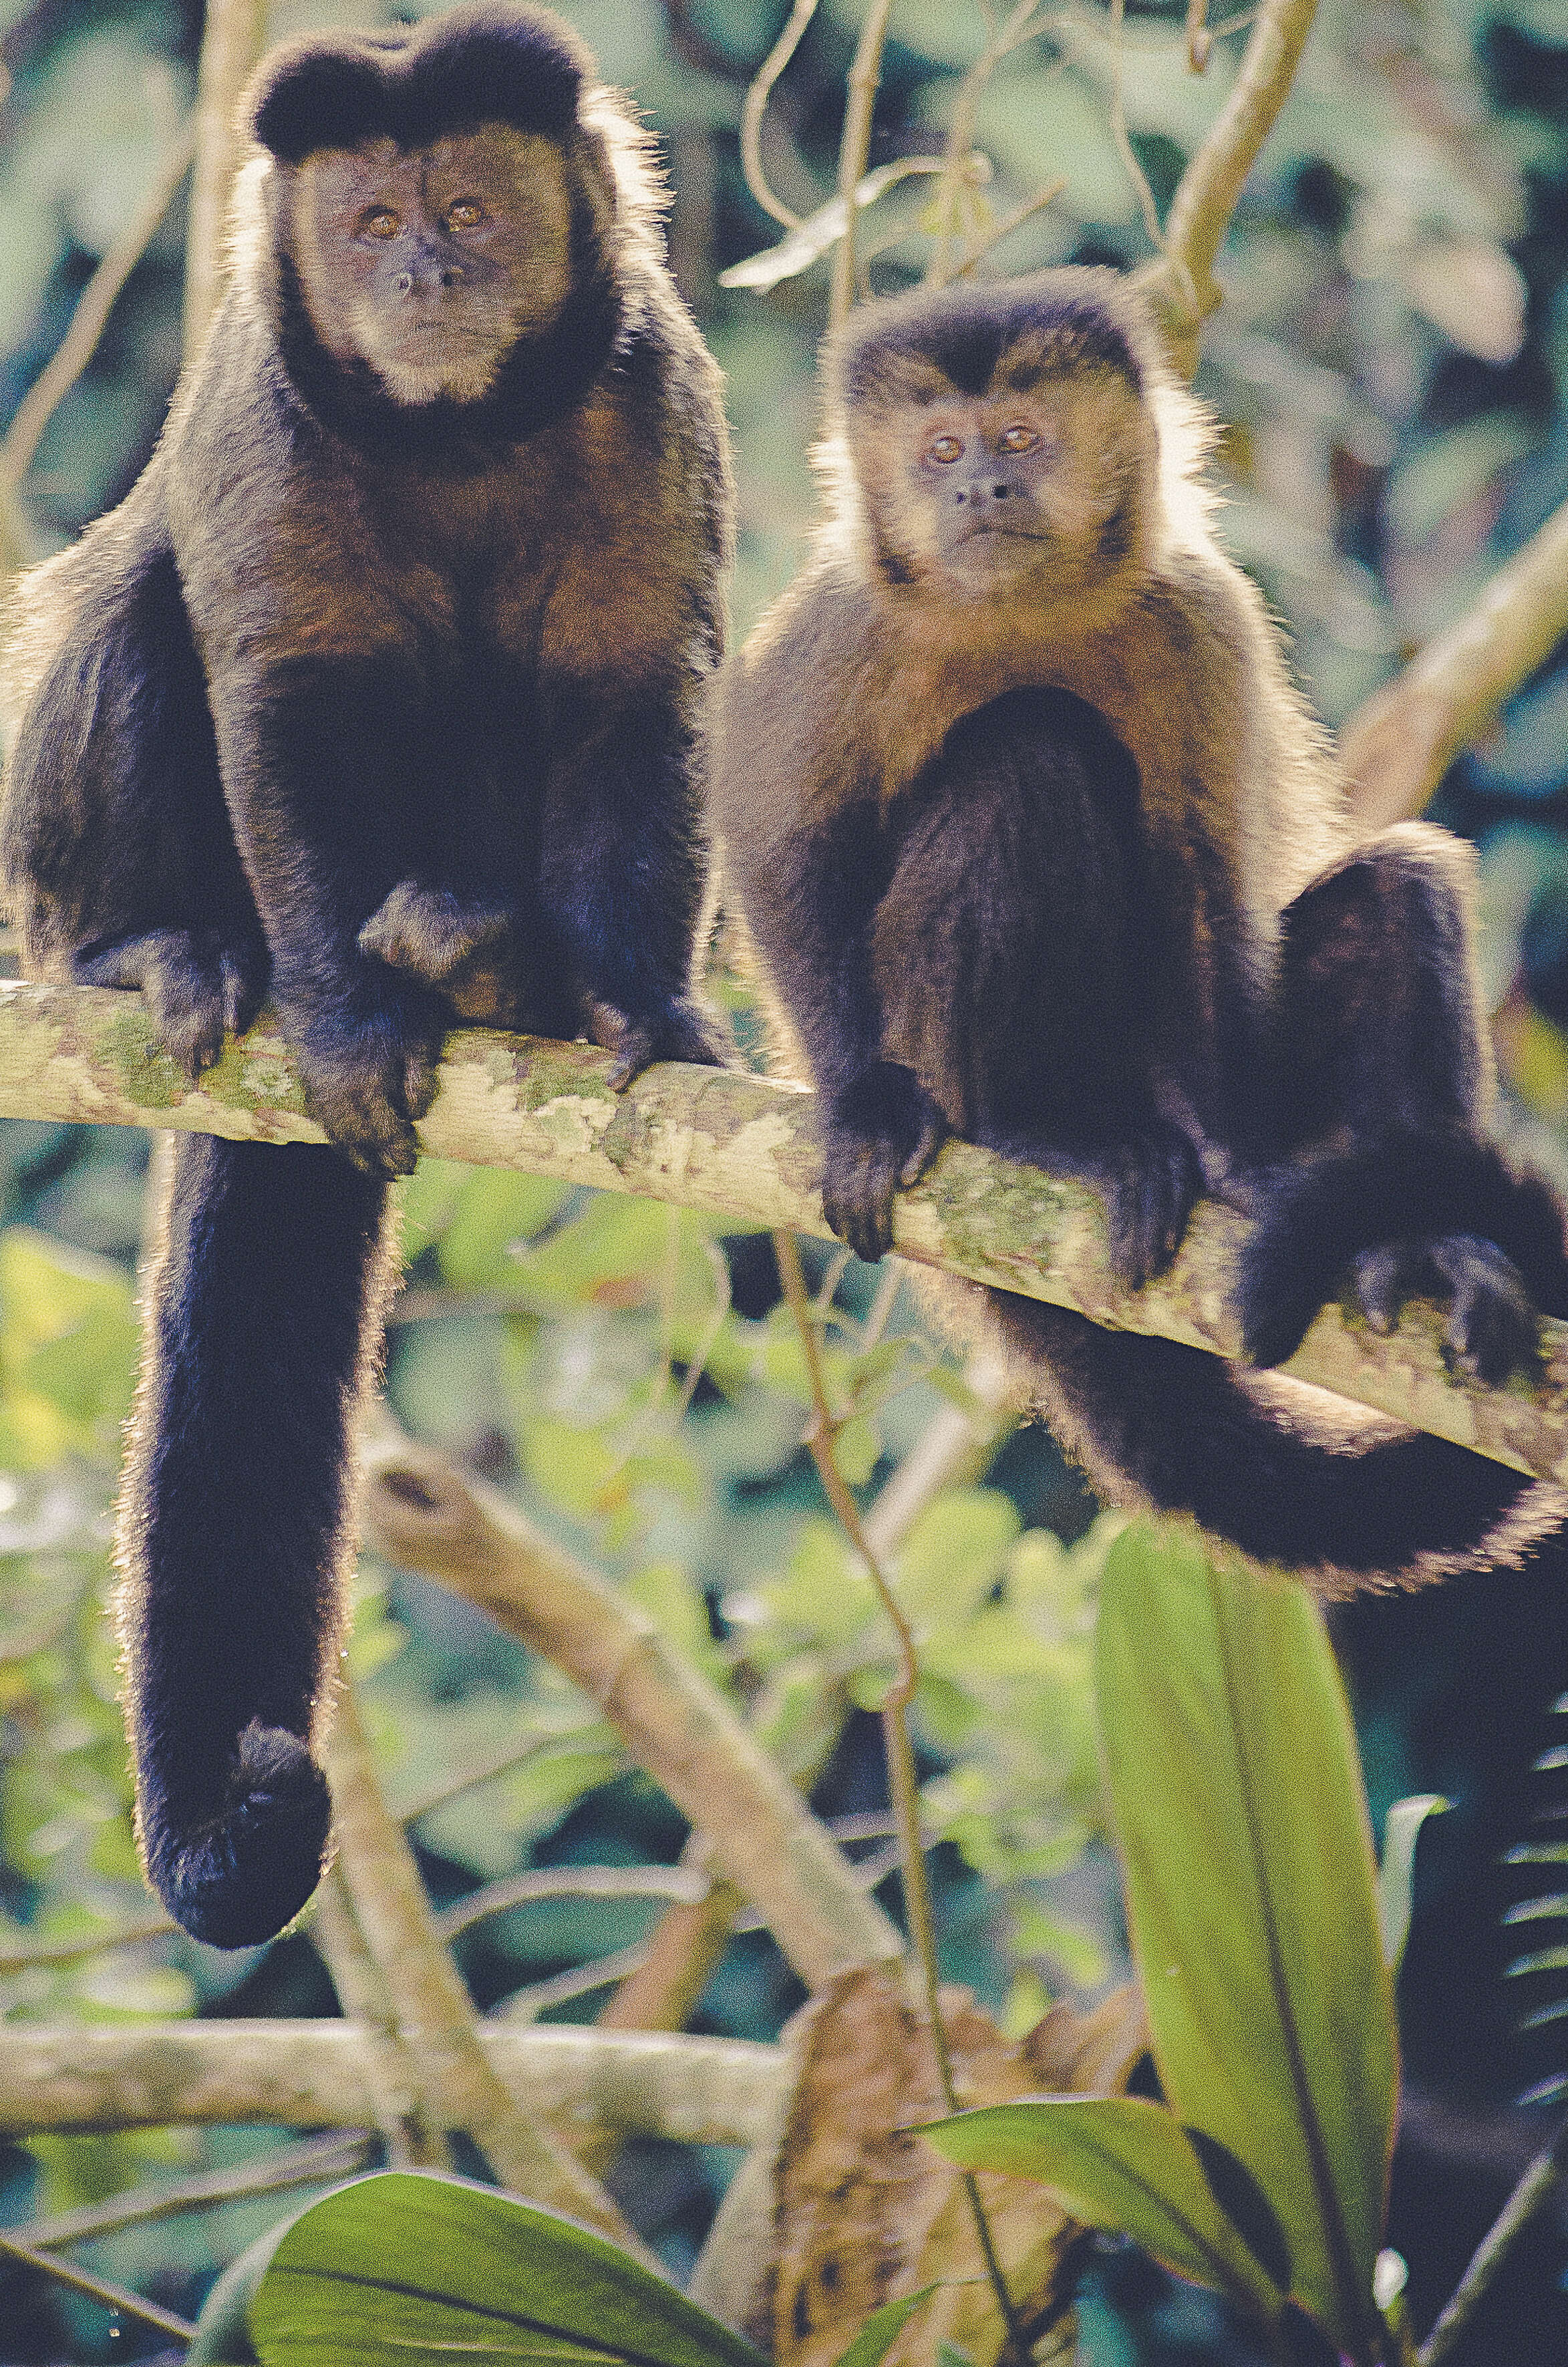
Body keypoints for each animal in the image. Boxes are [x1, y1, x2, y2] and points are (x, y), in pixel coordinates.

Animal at [0, 0, 739, 1950]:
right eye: (370, 222)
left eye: (471, 212)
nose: (420, 272)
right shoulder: (266, 411)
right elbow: (285, 678)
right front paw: (342, 1021)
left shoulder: (655, 399)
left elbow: (635, 688)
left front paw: (638, 1008)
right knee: (142, 603)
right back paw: (165, 953)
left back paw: (492, 963)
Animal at [720, 269, 1568, 1600]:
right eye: (942, 450)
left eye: (1021, 439)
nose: (979, 490)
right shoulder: (838, 626)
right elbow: (773, 840)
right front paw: (857, 1107)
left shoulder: (1201, 618)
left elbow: (1200, 879)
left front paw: (1230, 1162)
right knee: (1028, 761)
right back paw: (1020, 1129)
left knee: (1396, 891)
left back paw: (1422, 1255)